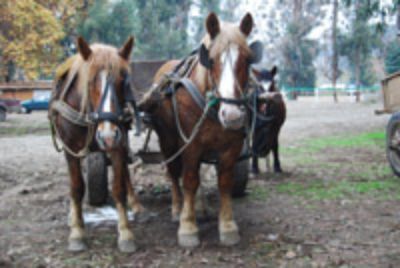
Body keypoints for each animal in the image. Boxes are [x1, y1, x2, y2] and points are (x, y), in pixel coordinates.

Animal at [48, 36, 143, 252]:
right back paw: (73, 216)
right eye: (90, 81)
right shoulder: (71, 149)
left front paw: (125, 233)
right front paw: (77, 232)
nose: (107, 135)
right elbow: (76, 187)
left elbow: (118, 187)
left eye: (123, 79)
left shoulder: (118, 144)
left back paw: (135, 204)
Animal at [140, 12, 260, 247]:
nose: (232, 115)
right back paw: (177, 208)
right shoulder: (190, 145)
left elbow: (223, 182)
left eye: (248, 59)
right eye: (211, 60)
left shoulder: (231, 147)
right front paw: (187, 225)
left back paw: (201, 207)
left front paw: (227, 225)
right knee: (174, 172)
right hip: (167, 140)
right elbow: (189, 180)